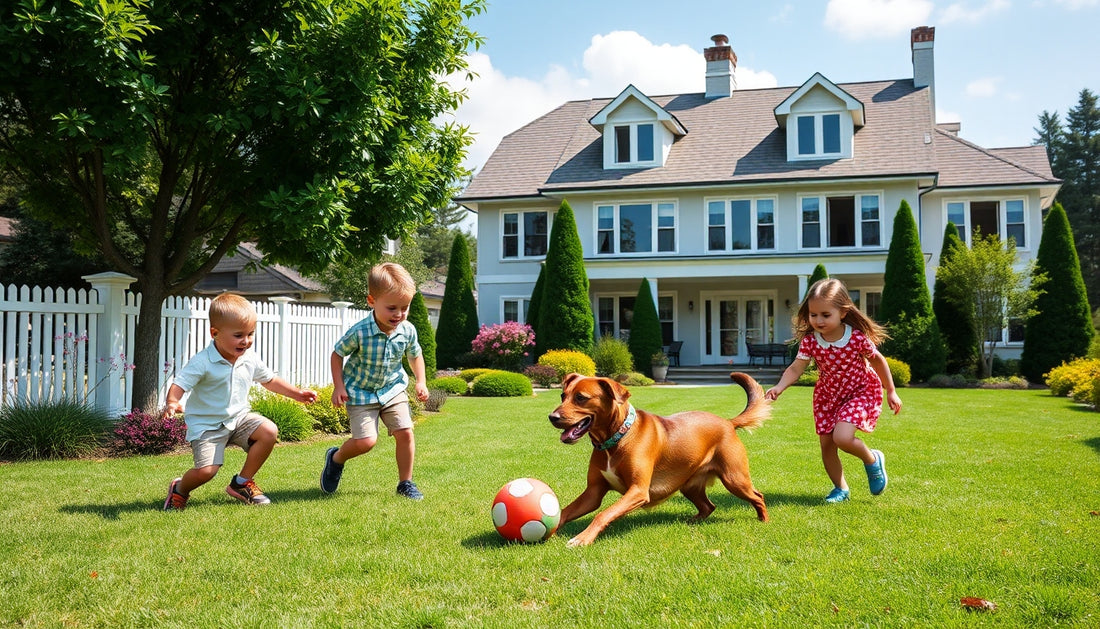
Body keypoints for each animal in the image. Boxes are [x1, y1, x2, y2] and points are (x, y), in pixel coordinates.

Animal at [545, 373, 770, 545]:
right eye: (563, 395)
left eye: (581, 398)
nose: (552, 417)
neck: (617, 438)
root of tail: (728, 422)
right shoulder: (593, 493)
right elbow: (565, 512)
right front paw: (550, 532)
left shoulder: (638, 491)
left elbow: (604, 514)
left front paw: (582, 538)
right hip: (690, 486)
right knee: (709, 506)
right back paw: (693, 521)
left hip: (735, 479)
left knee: (758, 496)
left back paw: (764, 520)